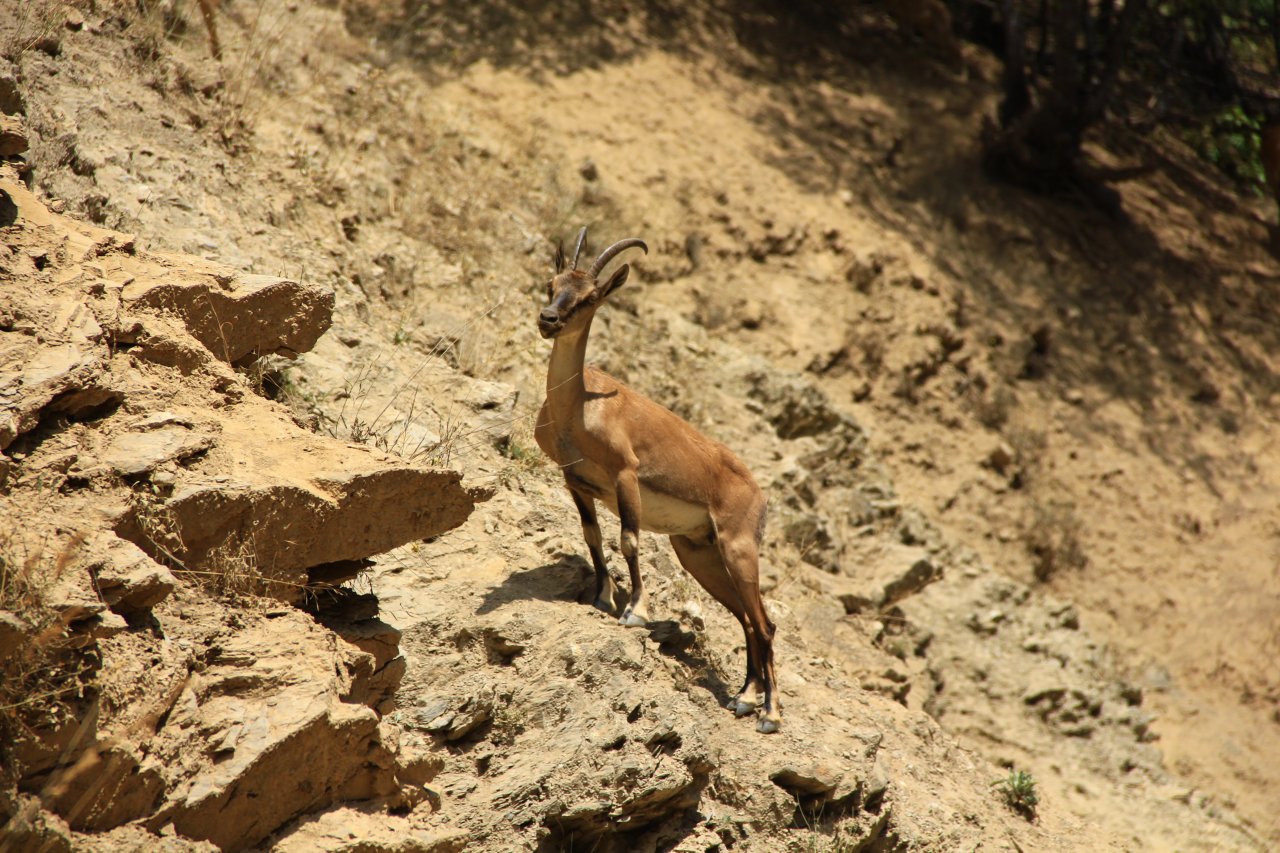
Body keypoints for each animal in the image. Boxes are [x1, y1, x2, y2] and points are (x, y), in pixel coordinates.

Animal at [532, 227, 778, 732]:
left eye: (589, 297)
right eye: (552, 284)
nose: (548, 320)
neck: (577, 409)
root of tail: (759, 495)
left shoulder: (626, 477)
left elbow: (628, 540)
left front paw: (636, 612)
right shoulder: (577, 484)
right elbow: (592, 536)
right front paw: (603, 597)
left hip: (739, 547)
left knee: (765, 624)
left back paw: (771, 714)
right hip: (699, 553)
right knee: (746, 620)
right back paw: (744, 699)